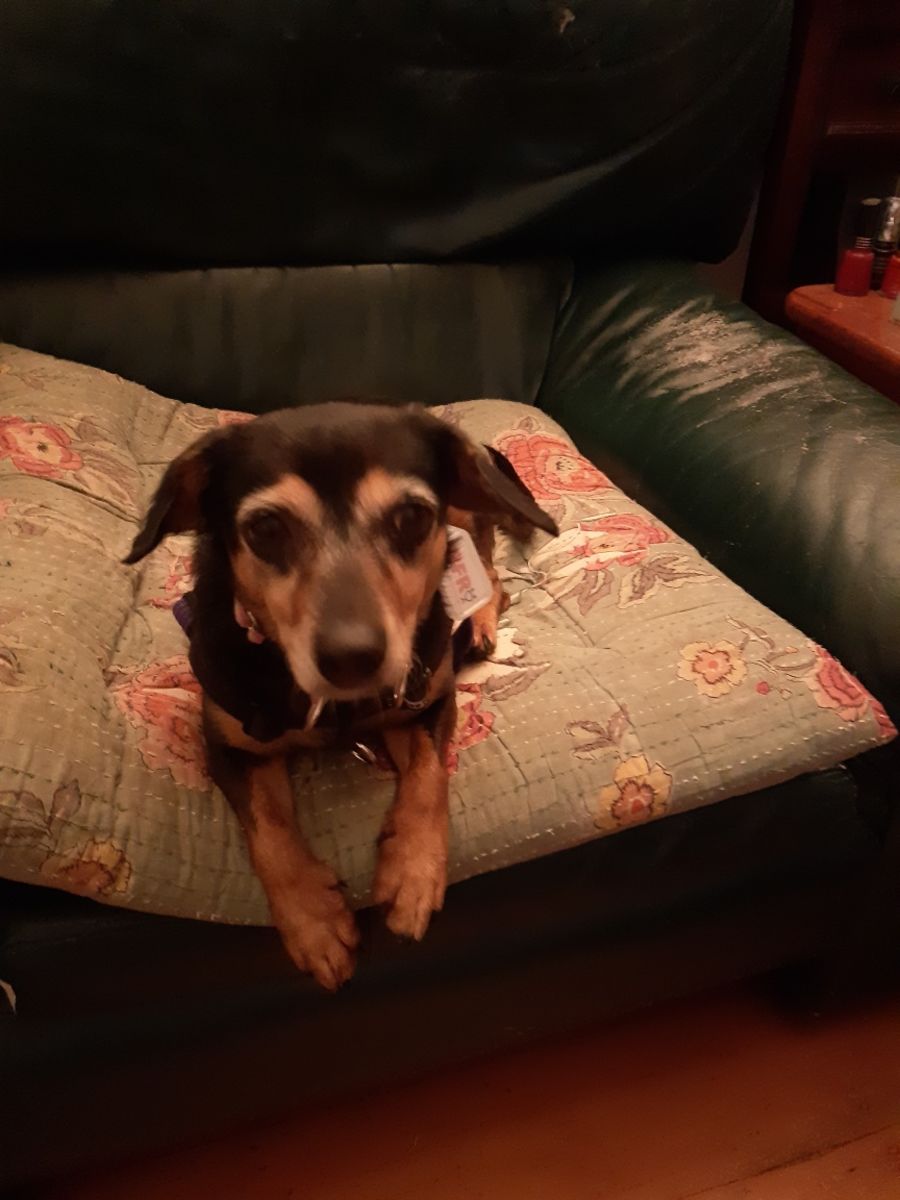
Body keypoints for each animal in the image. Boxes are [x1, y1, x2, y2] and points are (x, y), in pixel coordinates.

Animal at [125, 402, 557, 989]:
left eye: (412, 517)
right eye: (266, 528)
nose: (352, 657)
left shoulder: (428, 702)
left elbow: (429, 779)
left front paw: (413, 875)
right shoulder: (227, 743)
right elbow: (269, 831)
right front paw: (315, 922)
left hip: (466, 523)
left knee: (492, 576)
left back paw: (483, 622)